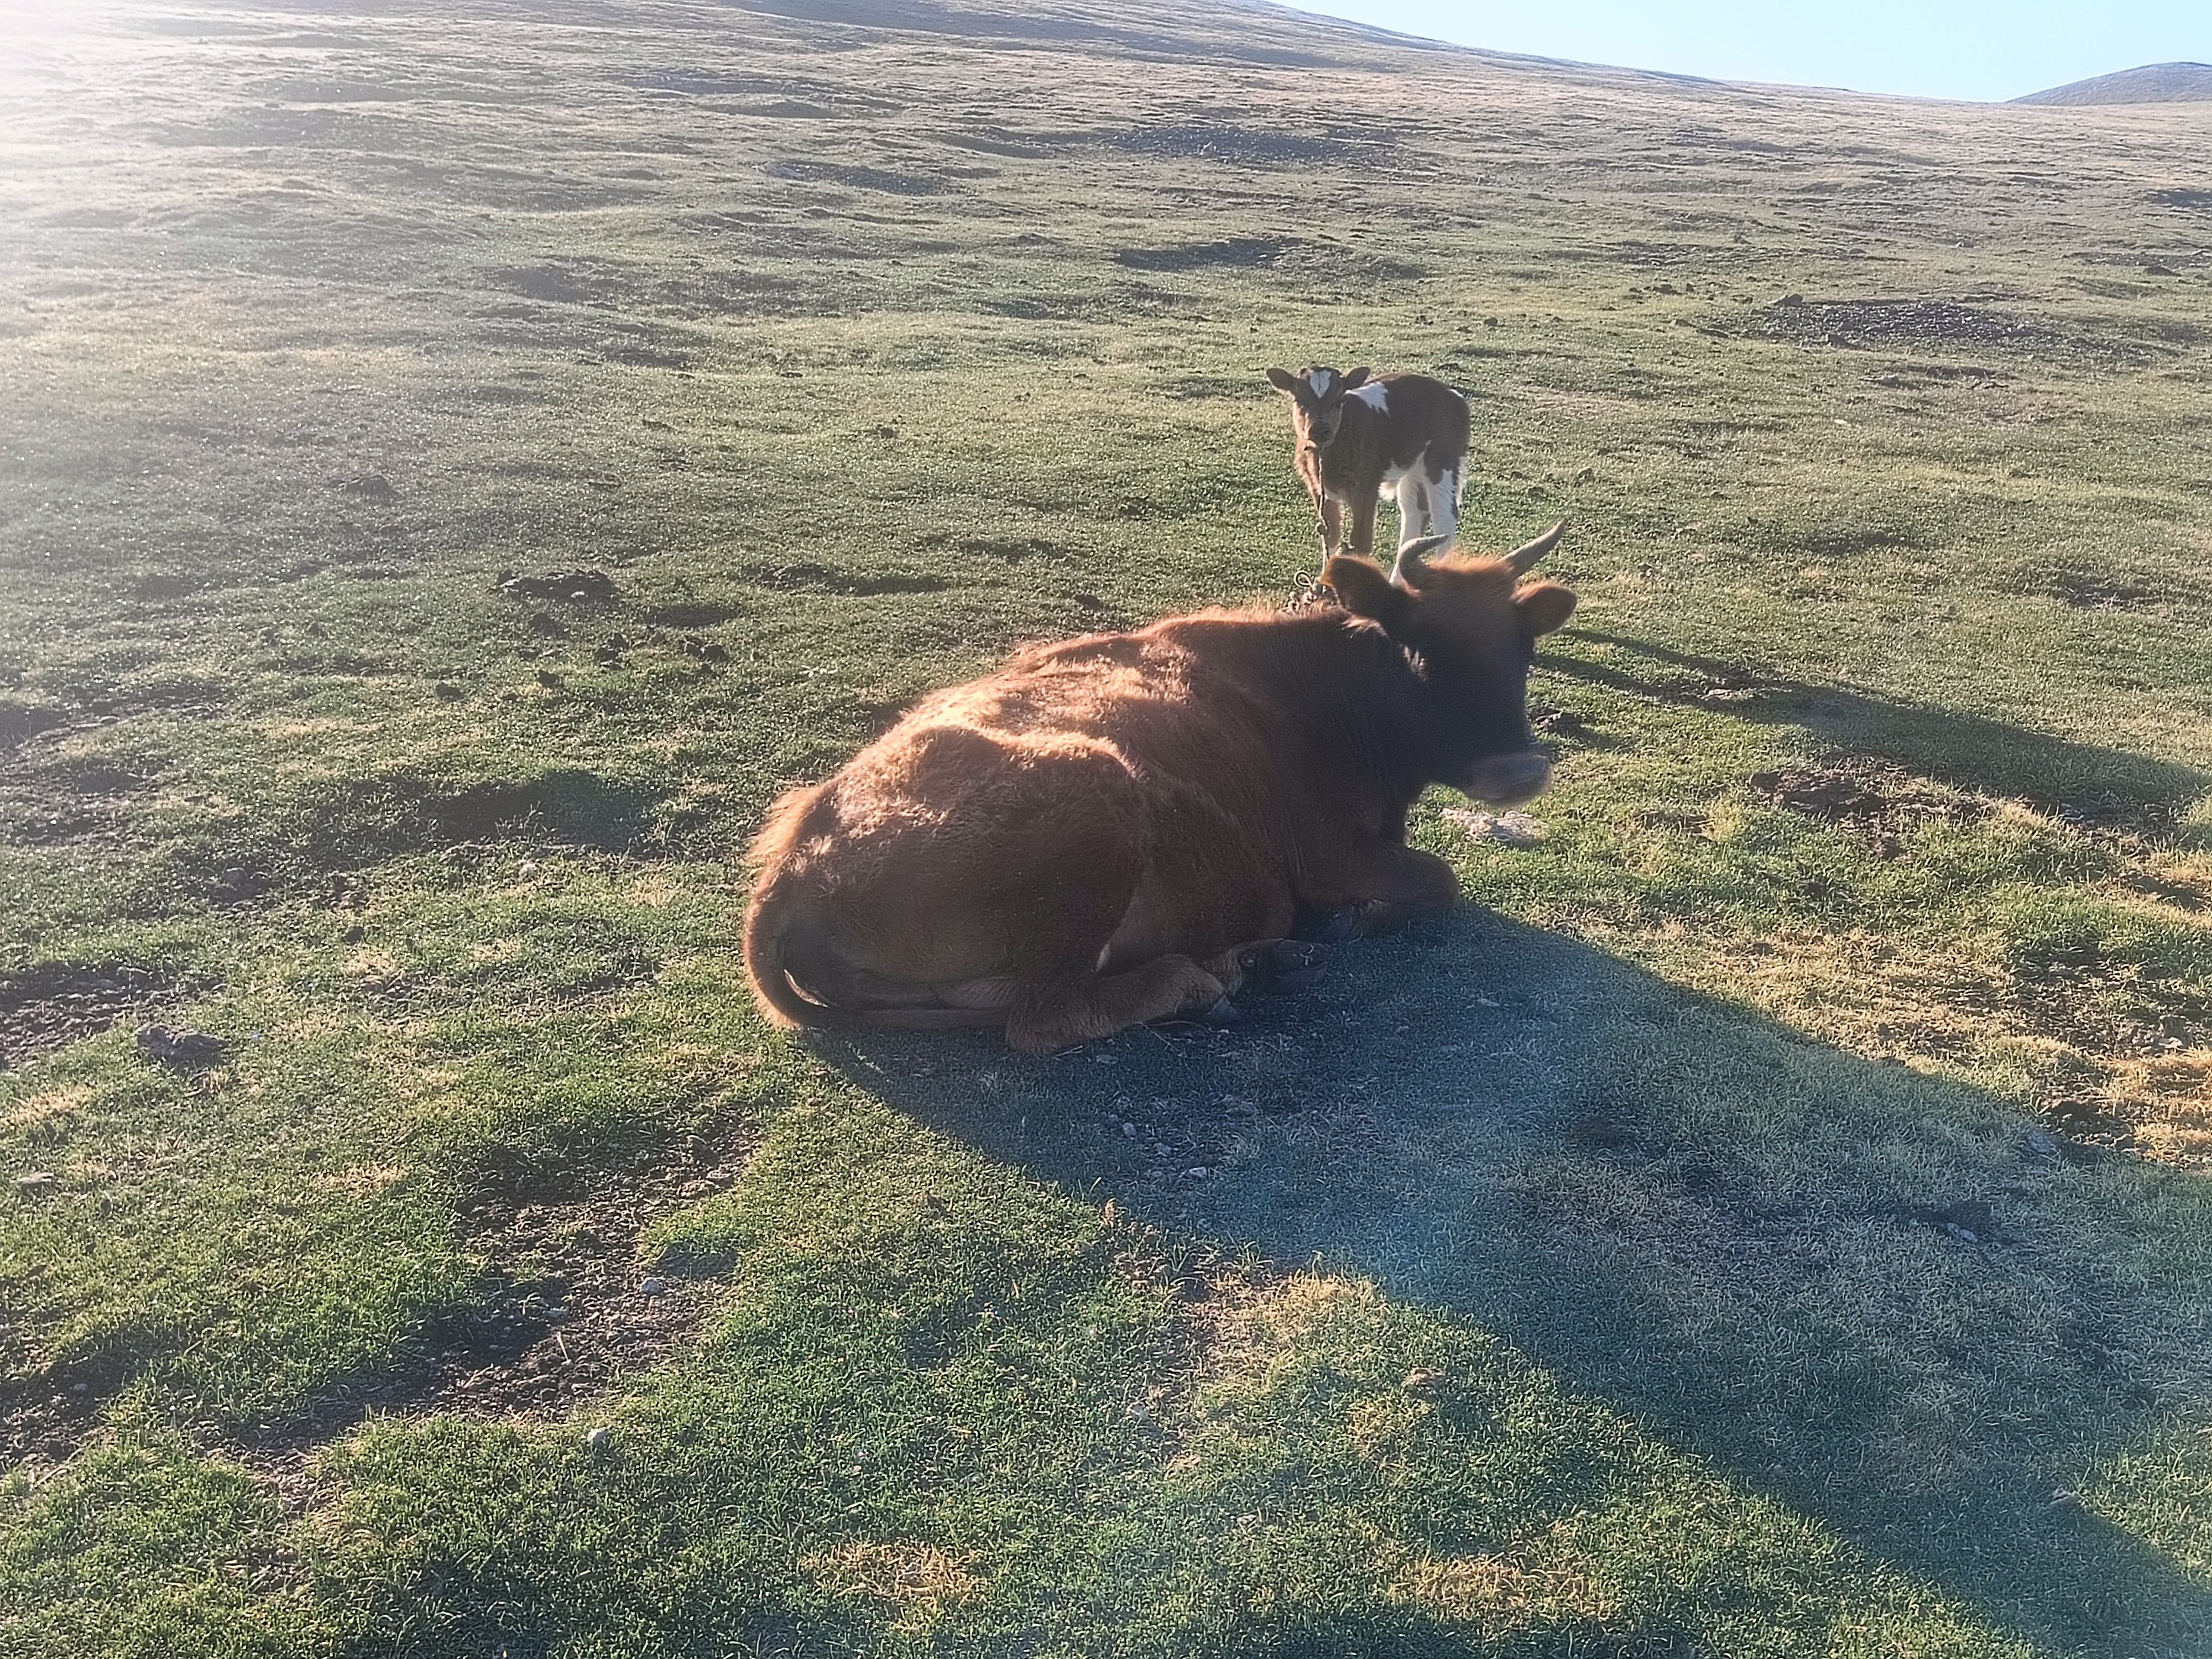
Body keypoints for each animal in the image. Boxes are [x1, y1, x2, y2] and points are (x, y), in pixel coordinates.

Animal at [744, 523, 1575, 1054]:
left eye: (1524, 648)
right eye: (1420, 649)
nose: (1520, 770)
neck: (1309, 690)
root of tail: (794, 862)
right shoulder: (1332, 857)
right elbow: (1440, 880)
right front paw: (1348, 924)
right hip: (1096, 797)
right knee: (1042, 1018)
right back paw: (1208, 978)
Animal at [1266, 364, 1472, 567]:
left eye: (1339, 401)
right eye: (1299, 401)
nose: (1320, 430)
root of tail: (1453, 394)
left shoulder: (1366, 488)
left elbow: (1360, 542)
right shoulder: (1318, 489)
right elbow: (1331, 536)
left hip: (1442, 460)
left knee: (1444, 517)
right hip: (1413, 468)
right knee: (1414, 513)